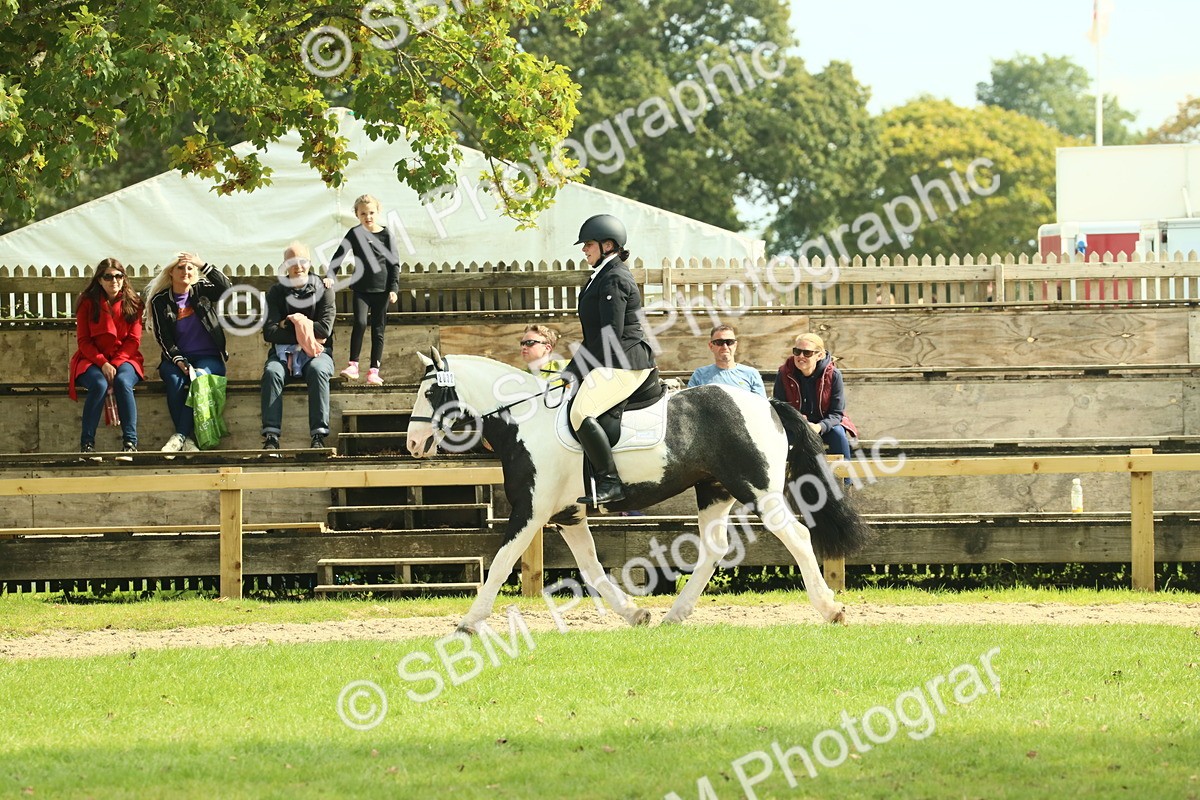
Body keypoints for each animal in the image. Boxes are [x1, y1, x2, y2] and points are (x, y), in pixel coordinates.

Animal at [405, 349, 871, 633]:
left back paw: (830, 608)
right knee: (715, 548)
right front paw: (635, 613)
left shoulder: (530, 511)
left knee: (797, 536)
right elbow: (592, 568)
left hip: (758, 490)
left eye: (430, 391)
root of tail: (766, 404)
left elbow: (501, 563)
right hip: (714, 490)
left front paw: (469, 622)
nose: (412, 443)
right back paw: (675, 614)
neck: (525, 419)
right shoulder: (567, 515)